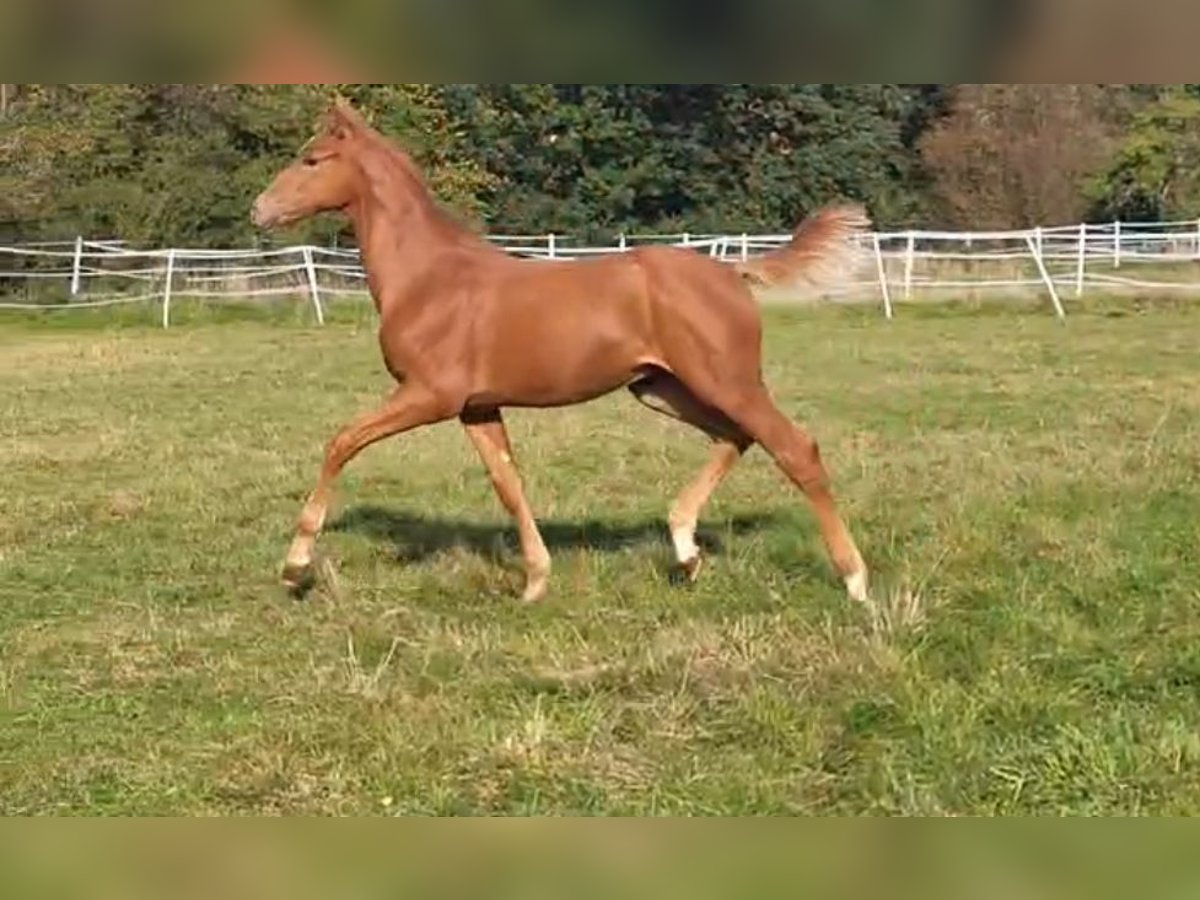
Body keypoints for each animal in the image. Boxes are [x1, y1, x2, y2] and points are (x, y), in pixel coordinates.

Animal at [253, 98, 873, 607]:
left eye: (313, 160)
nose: (259, 210)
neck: (428, 277)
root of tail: (732, 271)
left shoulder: (430, 395)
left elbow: (341, 442)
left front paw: (294, 567)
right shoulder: (477, 407)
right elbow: (508, 484)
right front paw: (534, 581)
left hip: (727, 381)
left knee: (795, 449)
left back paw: (854, 581)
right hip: (661, 388)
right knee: (736, 437)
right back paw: (686, 550)